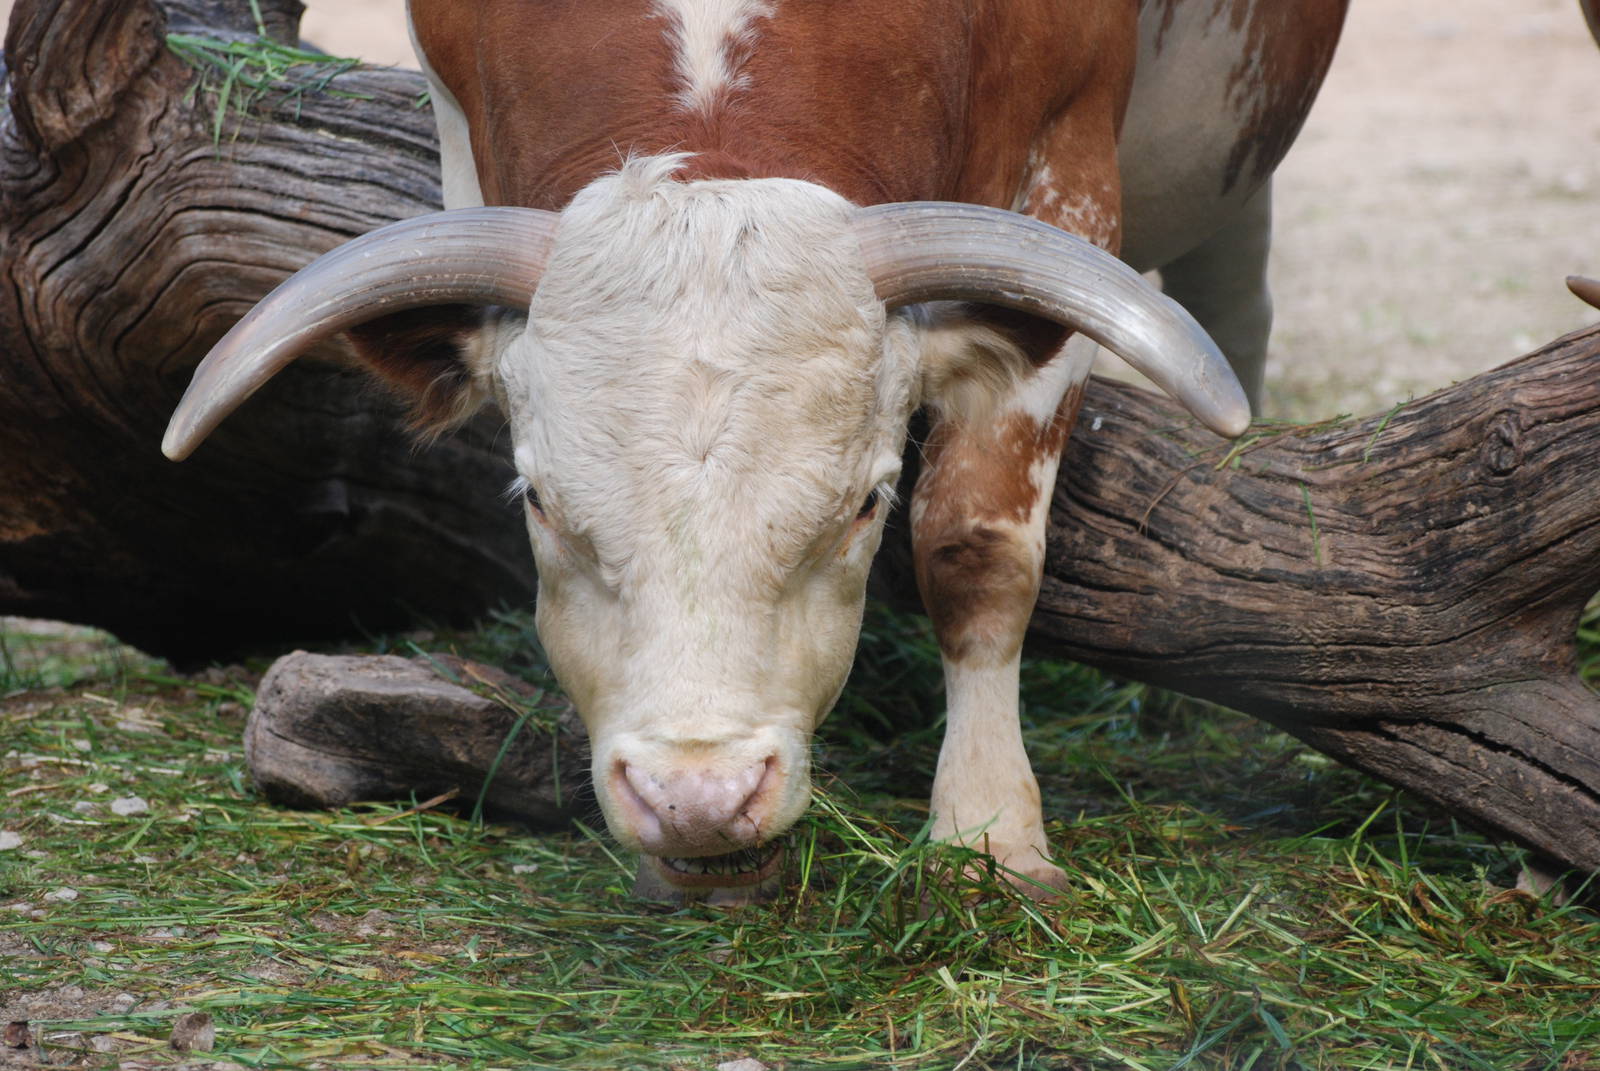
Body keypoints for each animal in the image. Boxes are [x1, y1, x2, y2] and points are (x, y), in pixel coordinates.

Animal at [163, 0, 1348, 901]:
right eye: (539, 501)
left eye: (867, 505)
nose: (698, 798)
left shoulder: (1066, 181)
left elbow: (977, 552)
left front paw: (988, 836)